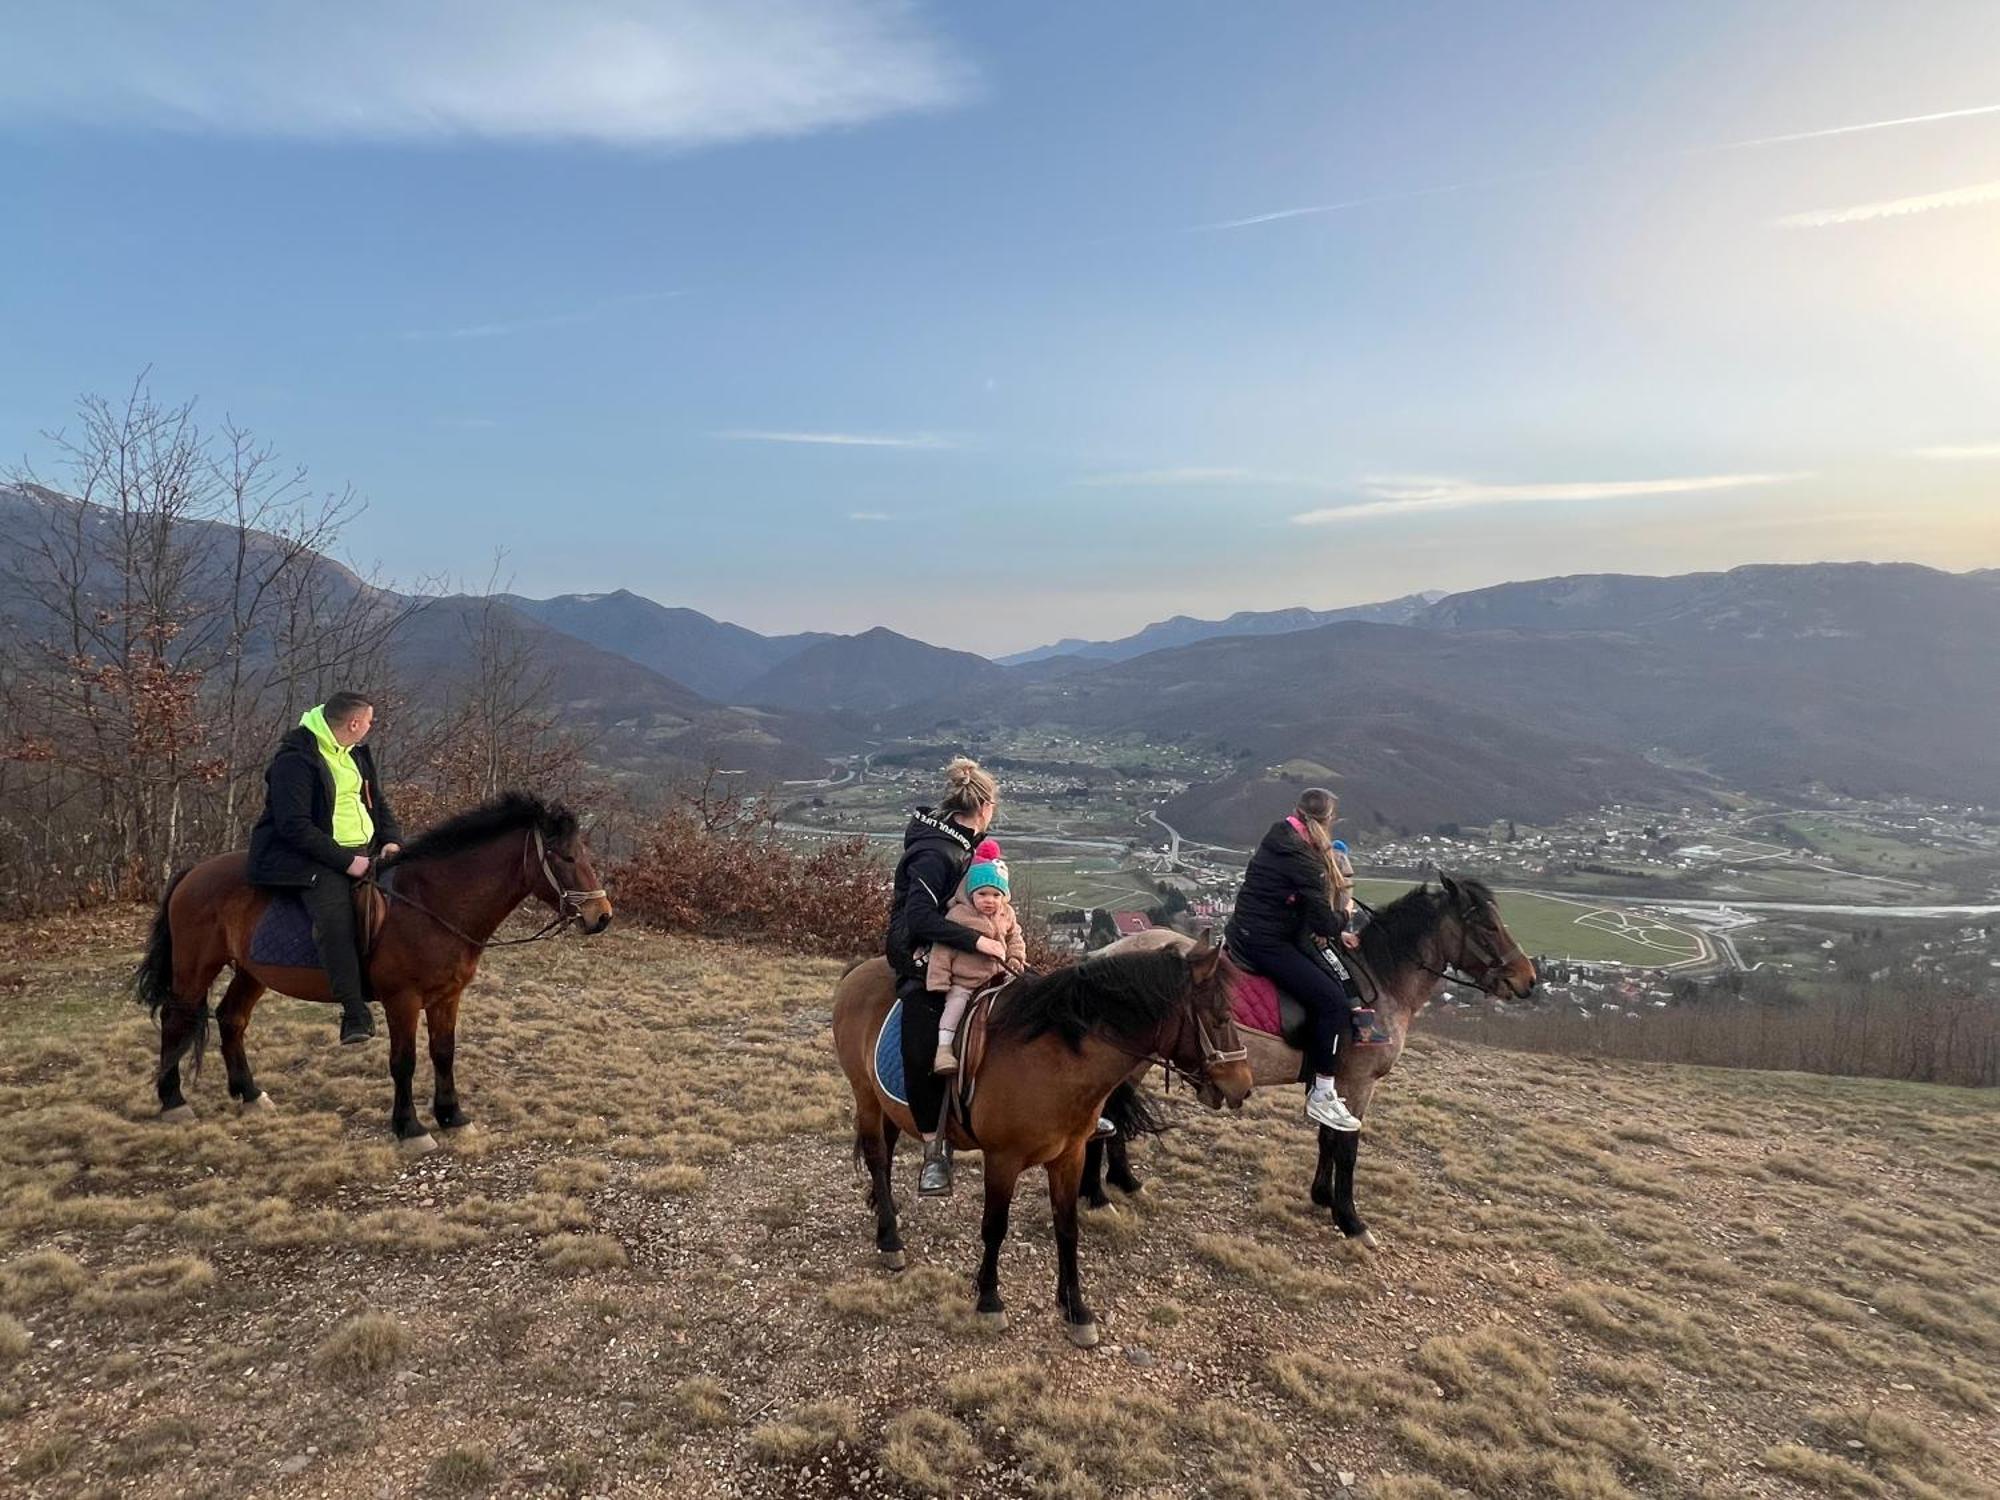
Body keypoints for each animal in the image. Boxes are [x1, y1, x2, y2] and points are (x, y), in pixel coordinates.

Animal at [132, 800, 608, 1152]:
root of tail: (193, 872)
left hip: (251, 972)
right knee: (176, 1020)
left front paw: (452, 1116)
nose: (600, 917)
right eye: (565, 857)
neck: (429, 904)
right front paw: (411, 1128)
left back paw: (249, 1094)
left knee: (232, 1019)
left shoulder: (447, 996)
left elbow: (444, 1053)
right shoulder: (403, 1000)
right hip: (195, 966)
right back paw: (173, 1101)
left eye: (586, 855)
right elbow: (404, 1061)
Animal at [828, 940, 1248, 1352]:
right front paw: (990, 1301)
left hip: (889, 1103)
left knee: (887, 1149)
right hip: (866, 1095)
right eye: (1222, 1018)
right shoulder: (1003, 1159)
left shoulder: (1070, 1156)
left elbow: (1067, 1228)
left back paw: (886, 1208)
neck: (1056, 1060)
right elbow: (994, 1227)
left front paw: (1075, 1309)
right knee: (877, 1156)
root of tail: (858, 971)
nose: (1242, 1086)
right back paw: (890, 1239)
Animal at [1088, 880, 1536, 1248]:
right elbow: (1347, 1149)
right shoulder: (1358, 1083)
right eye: (1488, 926)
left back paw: (1124, 1182)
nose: (1527, 979)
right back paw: (1097, 1197)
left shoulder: (1331, 1082)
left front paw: (1322, 1197)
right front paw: (1351, 1221)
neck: (1380, 982)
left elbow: (1326, 1138)